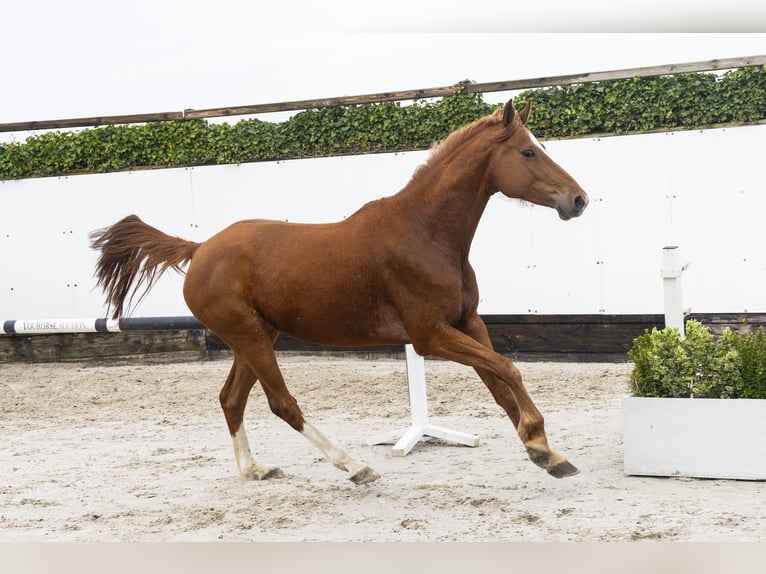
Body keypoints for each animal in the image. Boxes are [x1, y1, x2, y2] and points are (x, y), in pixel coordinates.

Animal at [90, 98, 588, 485]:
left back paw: (254, 470)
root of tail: (199, 249)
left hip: (255, 337)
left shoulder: (468, 322)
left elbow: (500, 382)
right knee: (282, 404)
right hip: (249, 336)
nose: (578, 199)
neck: (425, 233)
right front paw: (540, 444)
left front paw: (546, 454)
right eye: (528, 152)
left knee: (231, 399)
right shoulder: (430, 336)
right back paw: (354, 467)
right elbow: (508, 368)